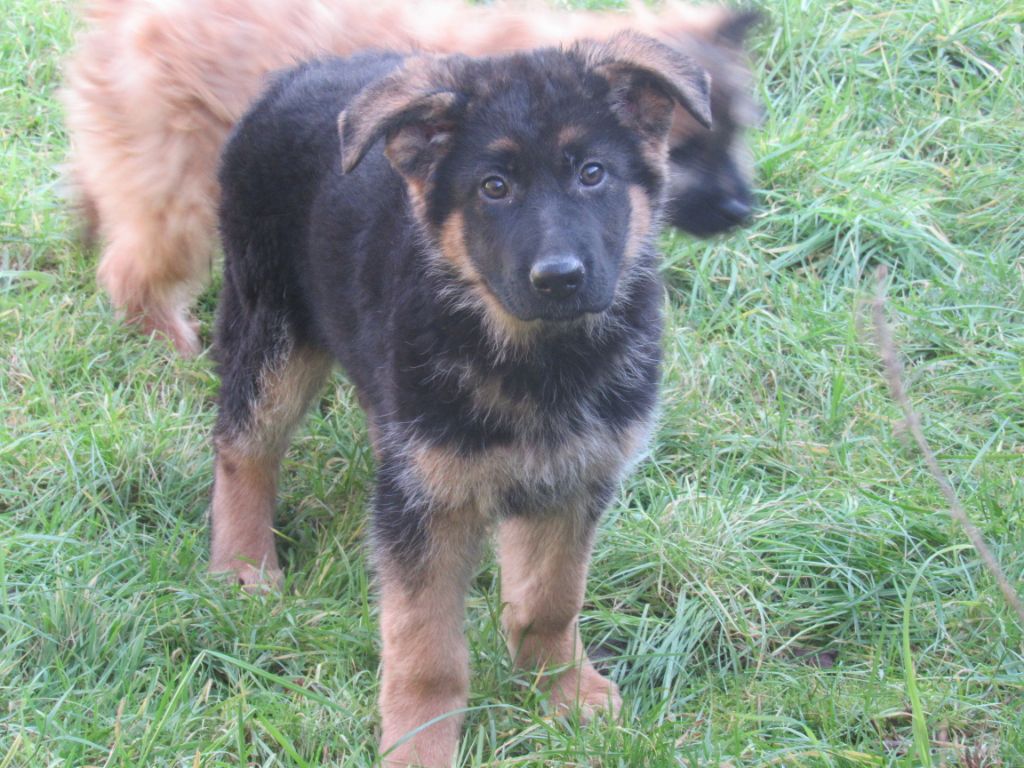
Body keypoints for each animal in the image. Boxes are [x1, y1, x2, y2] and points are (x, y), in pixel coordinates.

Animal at [59, 0, 757, 358]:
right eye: (682, 150)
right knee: (132, 271)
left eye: (736, 133)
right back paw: (174, 347)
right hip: (186, 189)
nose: (742, 212)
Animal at [214, 31, 712, 768]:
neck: (539, 356)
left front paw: (561, 691)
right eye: (493, 188)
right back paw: (245, 565)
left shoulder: (574, 479)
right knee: (242, 445)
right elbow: (426, 650)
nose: (558, 278)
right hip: (271, 322)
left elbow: (550, 600)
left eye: (593, 174)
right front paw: (419, 744)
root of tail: (299, 74)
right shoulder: (428, 510)